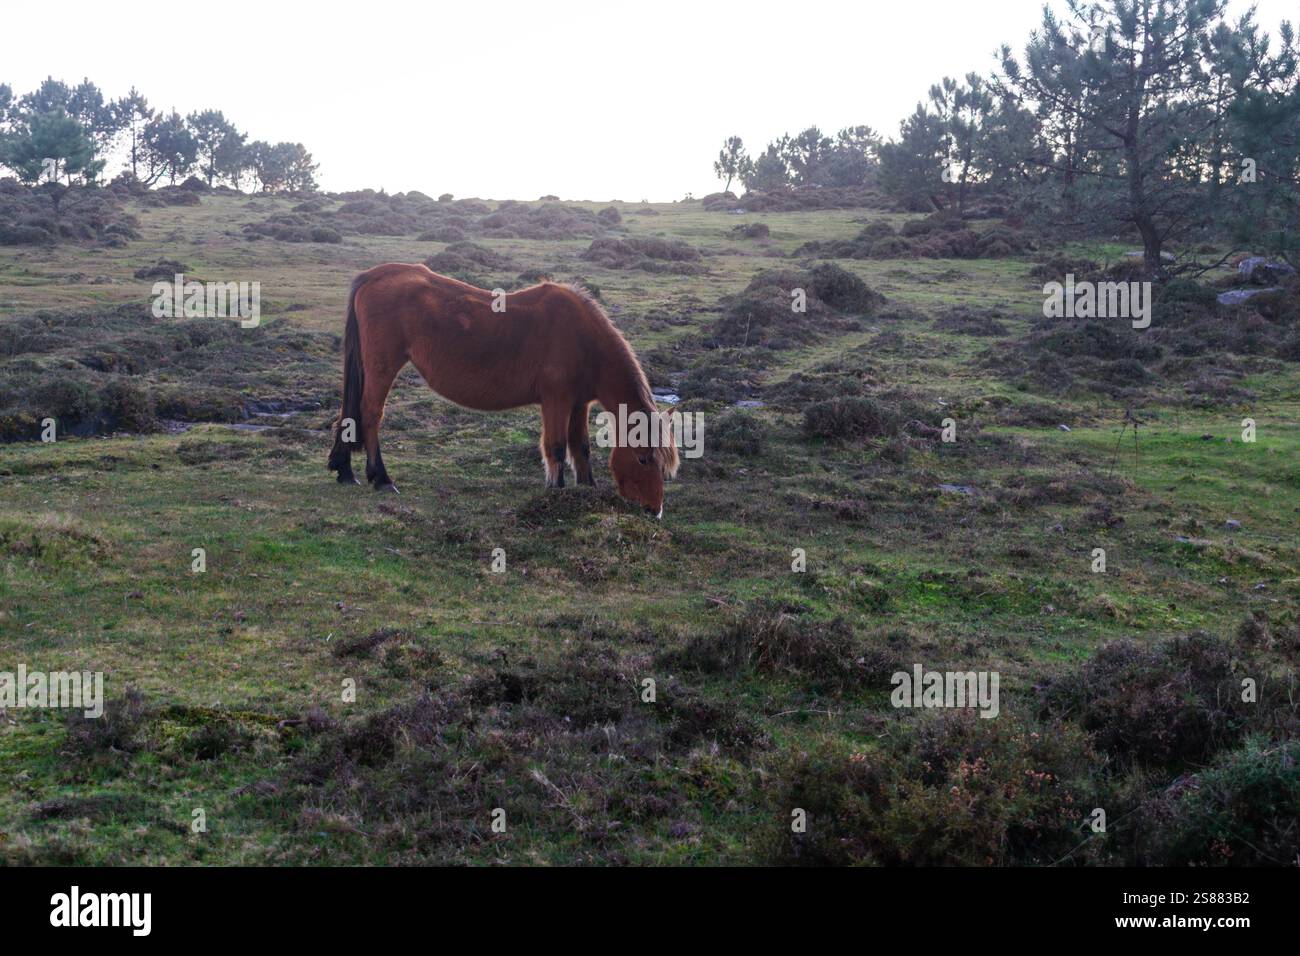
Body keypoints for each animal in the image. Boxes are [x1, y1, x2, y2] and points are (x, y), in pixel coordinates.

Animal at [326, 263, 680, 516]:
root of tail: (374, 275)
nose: (654, 511)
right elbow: (555, 446)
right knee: (371, 414)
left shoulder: (579, 404)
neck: (583, 339)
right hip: (382, 367)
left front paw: (587, 491)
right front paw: (556, 492)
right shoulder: (556, 400)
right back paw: (381, 478)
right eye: (643, 459)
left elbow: (580, 448)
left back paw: (345, 470)